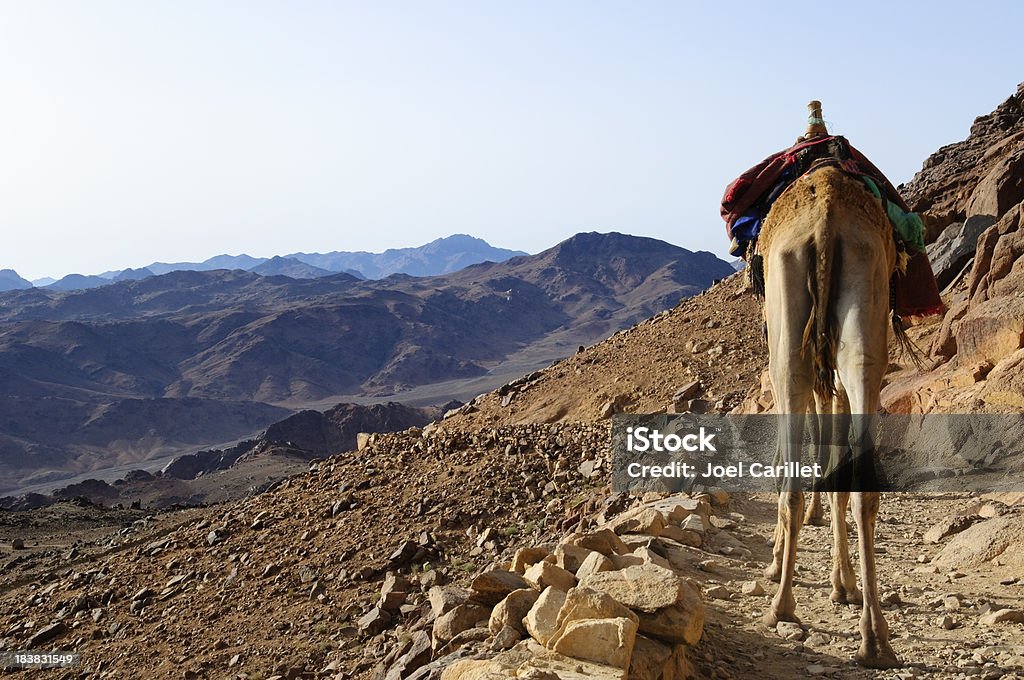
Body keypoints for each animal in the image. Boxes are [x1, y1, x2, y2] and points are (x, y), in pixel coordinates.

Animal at [757, 104, 901, 667]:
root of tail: (824, 220)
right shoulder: (834, 379)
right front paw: (842, 583)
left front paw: (784, 560)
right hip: (863, 328)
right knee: (862, 486)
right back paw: (875, 637)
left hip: (788, 350)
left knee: (794, 474)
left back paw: (782, 606)